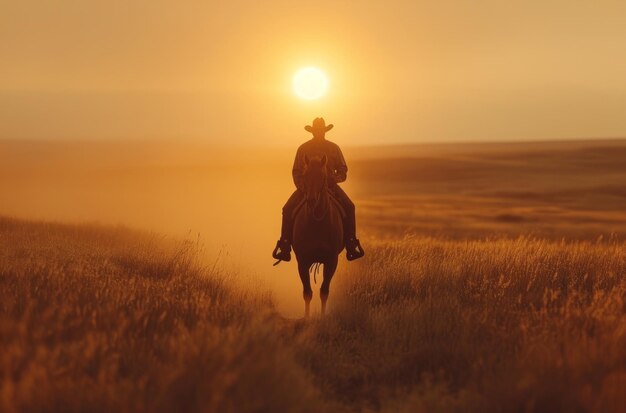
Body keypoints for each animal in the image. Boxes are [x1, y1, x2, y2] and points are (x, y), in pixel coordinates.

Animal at [292, 154, 344, 316]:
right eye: (305, 175)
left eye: (322, 176)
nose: (311, 200)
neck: (317, 223)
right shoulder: (302, 261)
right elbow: (307, 292)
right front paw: (307, 317)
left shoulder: (332, 261)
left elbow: (324, 291)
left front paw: (322, 317)